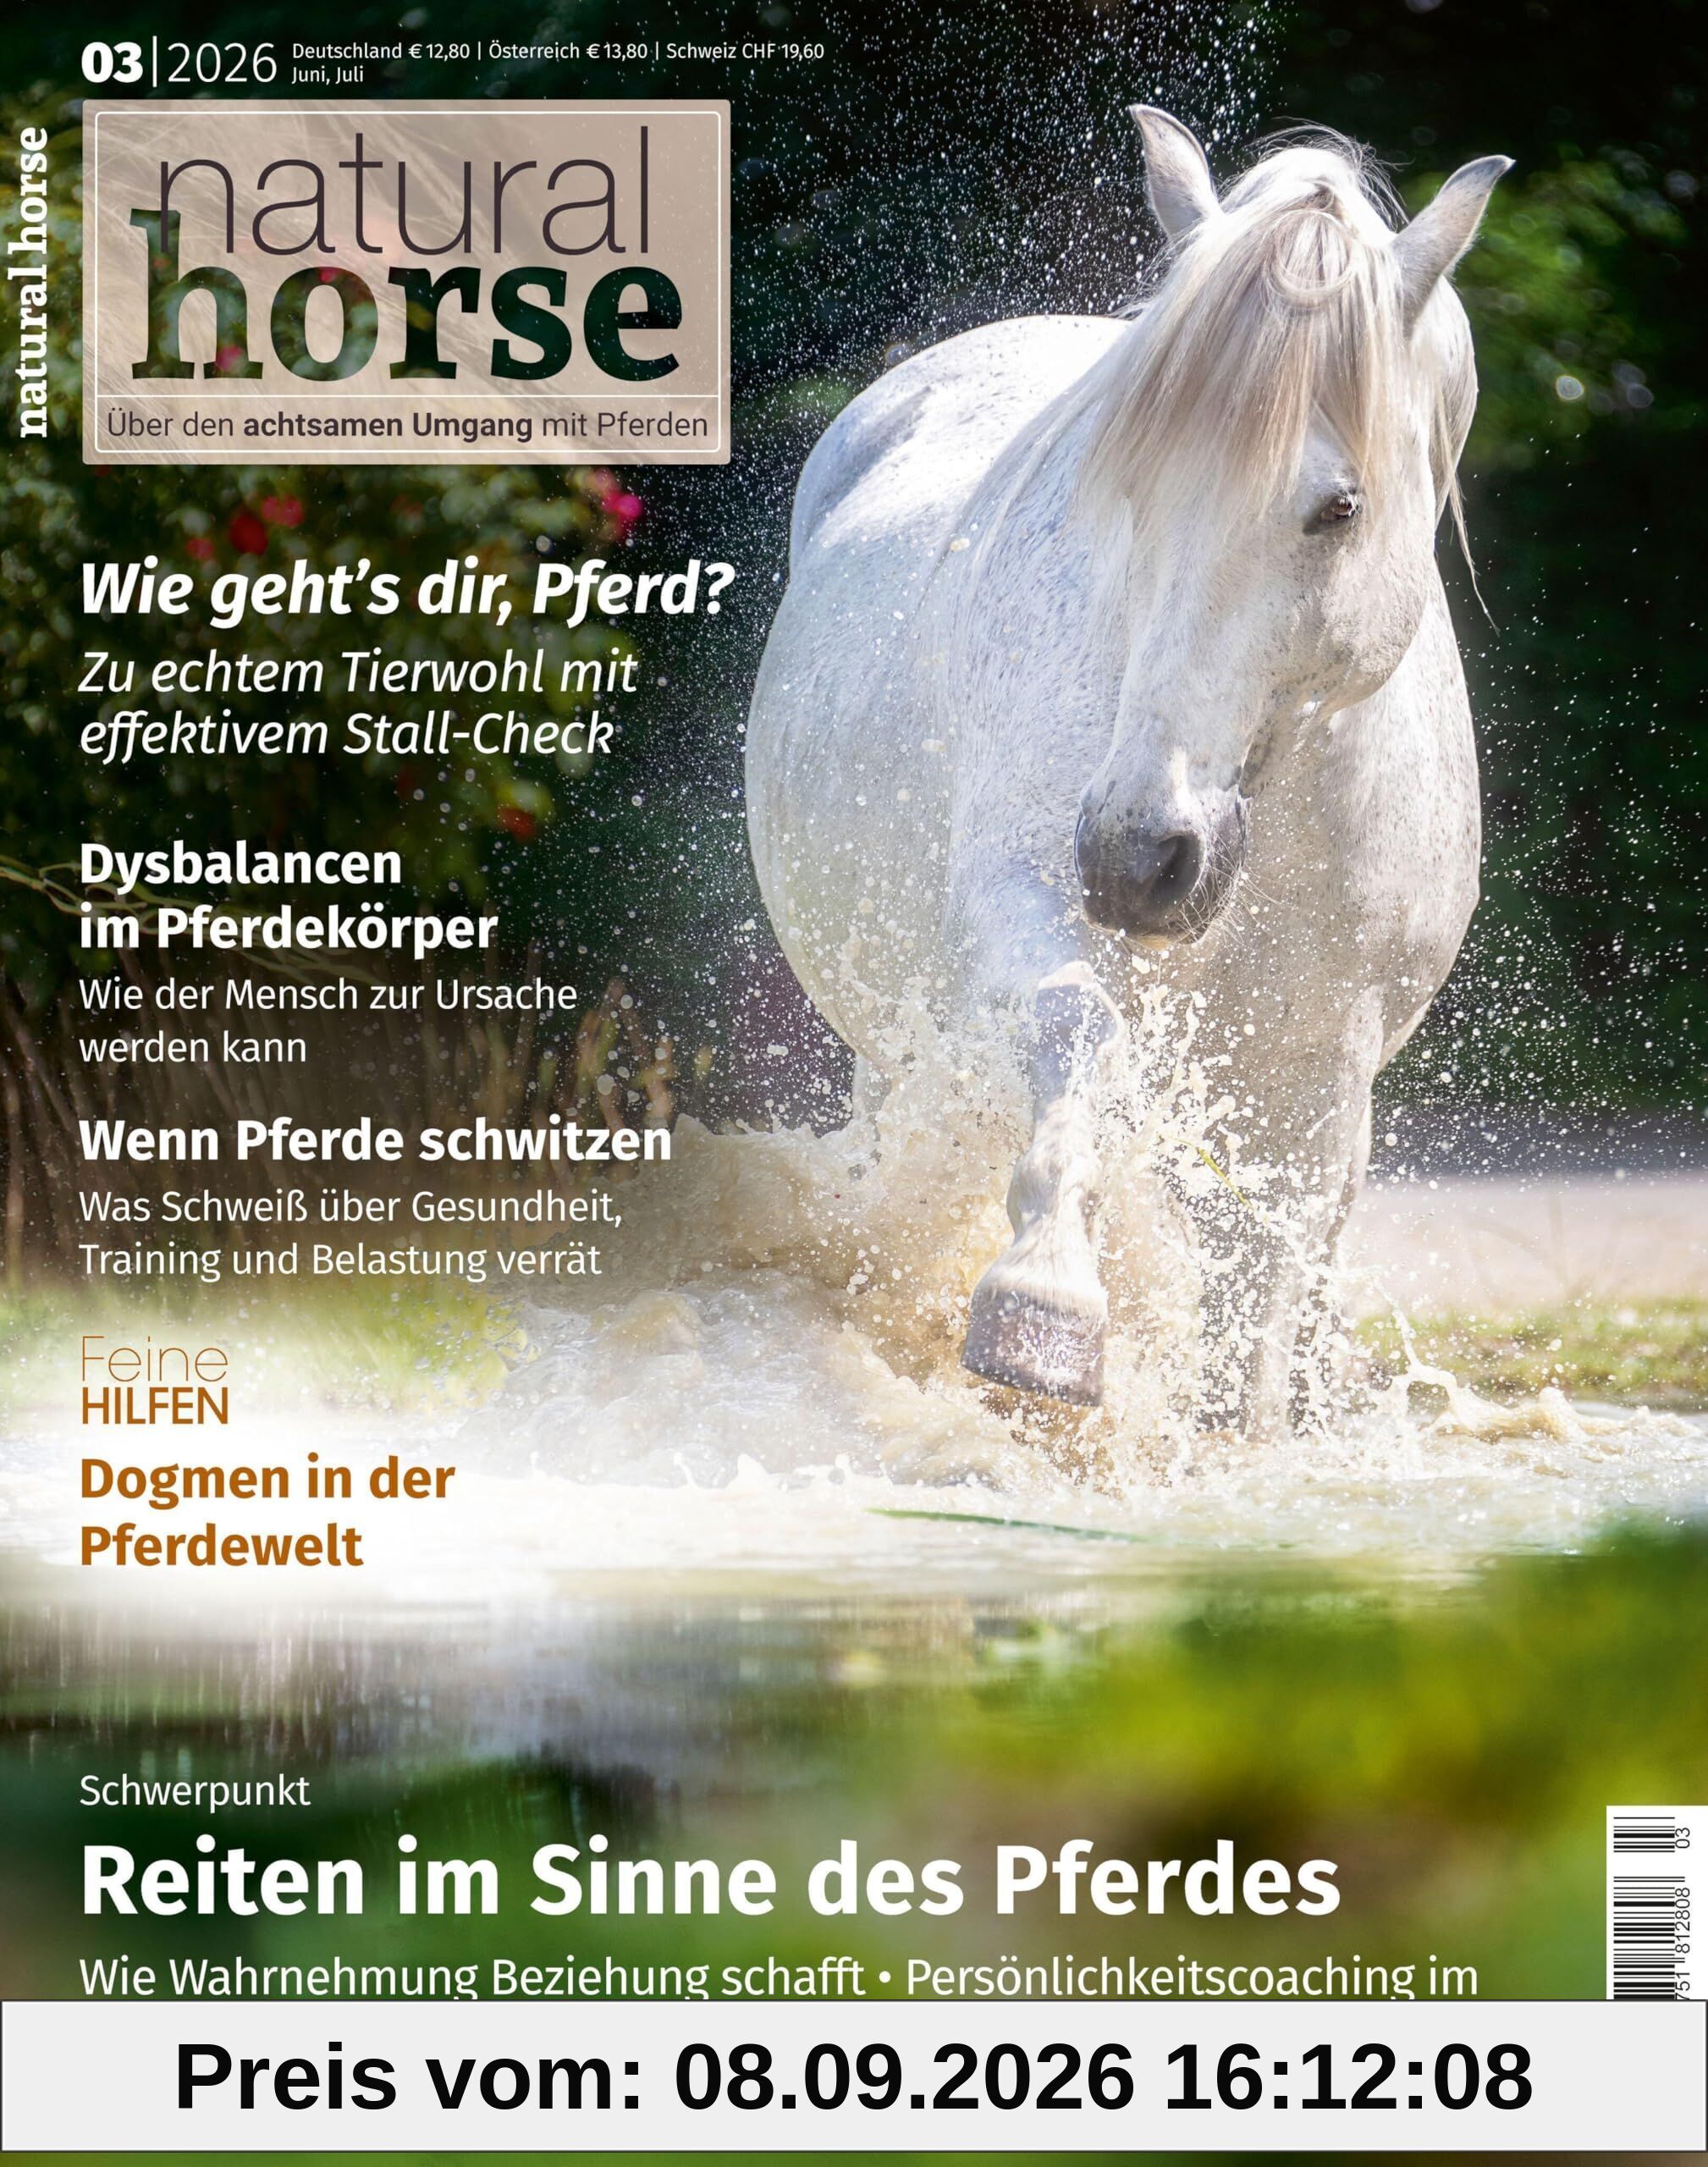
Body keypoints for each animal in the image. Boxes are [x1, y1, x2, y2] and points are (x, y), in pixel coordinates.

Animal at [745, 107, 1508, 1433]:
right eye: (1126, 489)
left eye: (1338, 507)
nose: (1139, 852)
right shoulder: (1023, 906)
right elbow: (1072, 1029)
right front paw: (1041, 1308)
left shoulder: (1315, 1076)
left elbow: (1258, 1311)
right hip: (891, 1043)